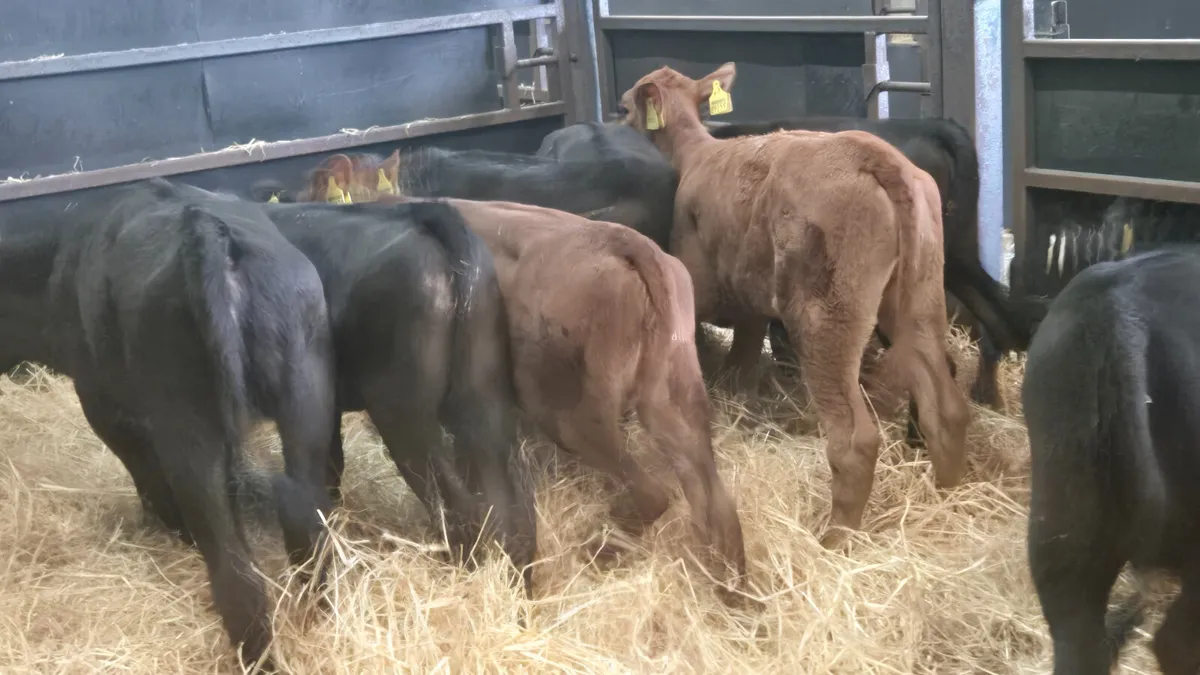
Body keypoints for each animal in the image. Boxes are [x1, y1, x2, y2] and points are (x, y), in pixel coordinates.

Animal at [0, 179, 338, 671]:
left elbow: (146, 476)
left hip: (187, 422)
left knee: (236, 573)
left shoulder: (104, 406)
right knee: (307, 524)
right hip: (306, 399)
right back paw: (321, 621)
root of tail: (210, 235)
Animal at [618, 62, 969, 549]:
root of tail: (876, 156)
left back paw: (834, 540)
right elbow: (740, 365)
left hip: (824, 316)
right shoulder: (748, 302)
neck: (694, 155)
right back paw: (947, 497)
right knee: (945, 405)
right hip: (918, 297)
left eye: (623, 108)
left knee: (854, 440)